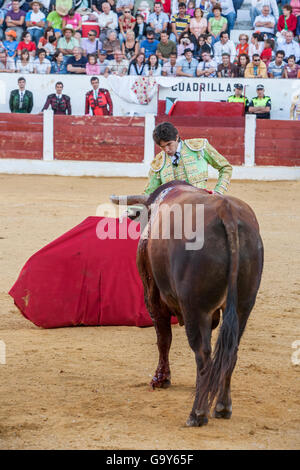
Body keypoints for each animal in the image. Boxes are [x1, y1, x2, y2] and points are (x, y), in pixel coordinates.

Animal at [111, 180, 264, 426]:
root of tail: (227, 212)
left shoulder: (152, 296)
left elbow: (164, 338)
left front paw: (161, 379)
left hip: (195, 308)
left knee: (202, 353)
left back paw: (197, 413)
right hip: (244, 306)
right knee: (230, 352)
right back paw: (222, 407)